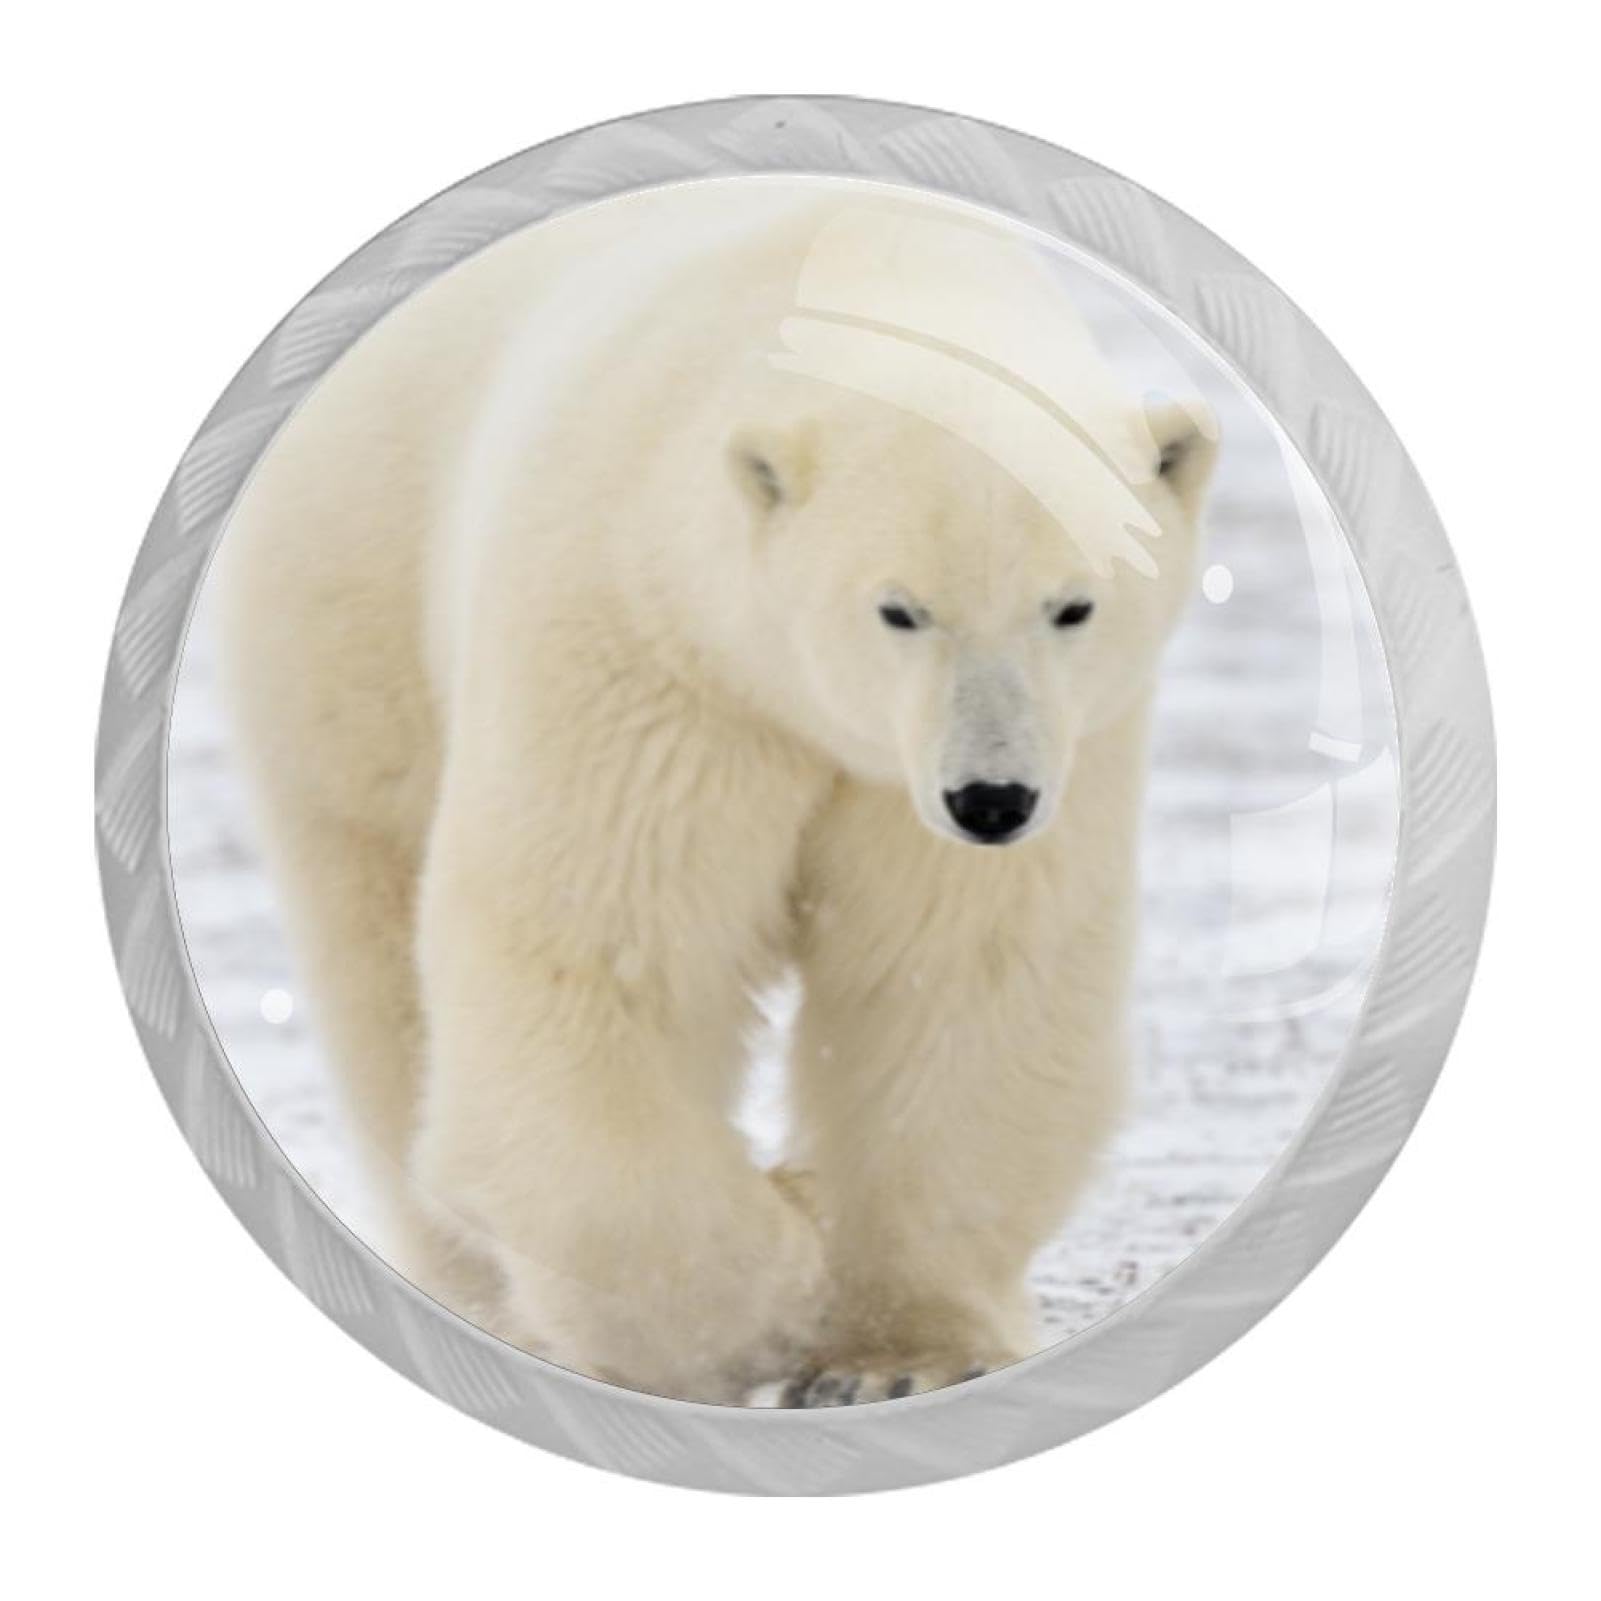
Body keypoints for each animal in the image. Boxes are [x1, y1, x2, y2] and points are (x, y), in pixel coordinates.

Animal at [213, 178, 1216, 1406]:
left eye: (1072, 605)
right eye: (898, 608)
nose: (991, 798)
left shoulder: (1006, 757)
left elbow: (950, 972)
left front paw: (897, 1355)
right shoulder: (649, 652)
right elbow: (602, 954)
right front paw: (768, 1289)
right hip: (353, 604)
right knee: (376, 936)